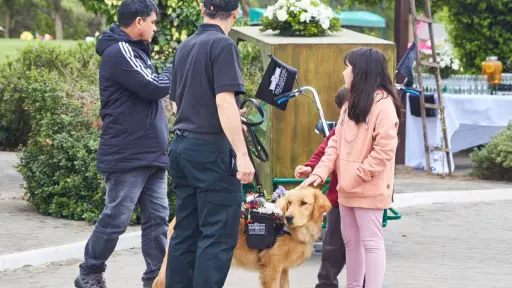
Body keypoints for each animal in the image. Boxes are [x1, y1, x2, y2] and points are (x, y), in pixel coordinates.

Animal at [152, 186, 332, 288]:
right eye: (289, 203)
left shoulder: (283, 269)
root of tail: (176, 218)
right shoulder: (272, 268)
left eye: (304, 203)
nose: (288, 217)